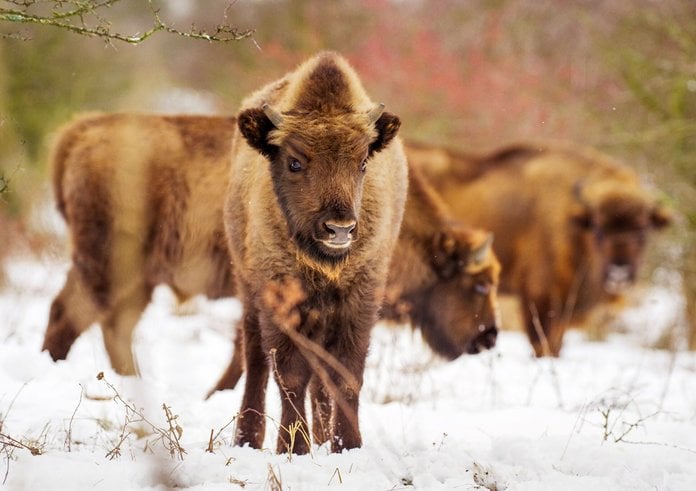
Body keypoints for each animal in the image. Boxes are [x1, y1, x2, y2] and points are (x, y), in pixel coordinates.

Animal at [410, 142, 672, 358]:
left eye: (643, 230)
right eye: (597, 229)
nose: (619, 273)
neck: (572, 219)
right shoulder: (540, 297)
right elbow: (542, 343)